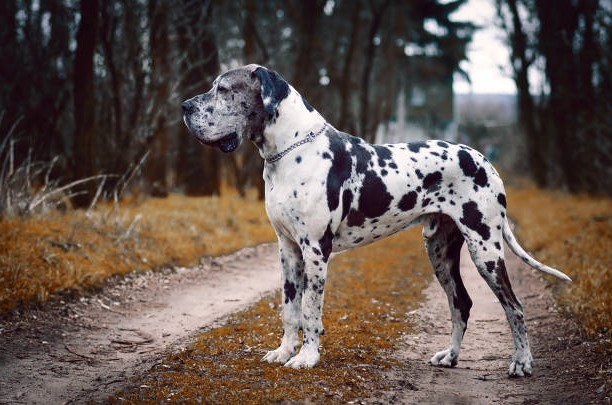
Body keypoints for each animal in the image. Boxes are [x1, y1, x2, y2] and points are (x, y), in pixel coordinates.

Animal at [179, 64, 572, 376]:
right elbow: (289, 308)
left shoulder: (315, 250)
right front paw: (284, 351)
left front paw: (307, 358)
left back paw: (521, 363)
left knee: (514, 306)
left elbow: (309, 310)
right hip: (440, 251)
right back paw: (450, 356)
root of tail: (485, 160)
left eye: (223, 90)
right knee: (461, 303)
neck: (290, 151)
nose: (184, 106)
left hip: (485, 248)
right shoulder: (287, 249)